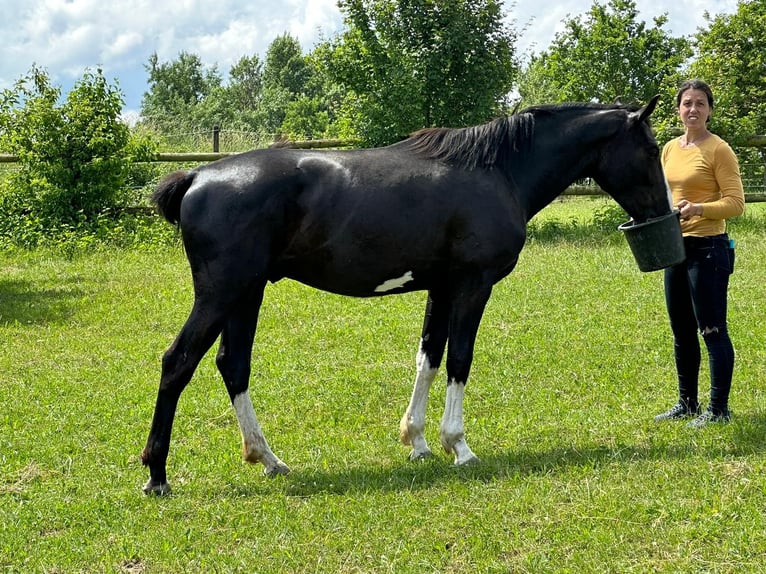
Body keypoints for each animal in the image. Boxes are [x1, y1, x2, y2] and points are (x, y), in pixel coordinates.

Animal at [142, 95, 672, 496]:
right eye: (650, 150)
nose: (665, 213)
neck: (496, 170)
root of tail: (197, 177)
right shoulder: (472, 286)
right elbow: (459, 359)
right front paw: (458, 446)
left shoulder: (442, 287)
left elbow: (429, 358)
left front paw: (416, 441)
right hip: (222, 295)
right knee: (178, 362)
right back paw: (157, 475)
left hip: (246, 295)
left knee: (233, 365)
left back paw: (268, 458)